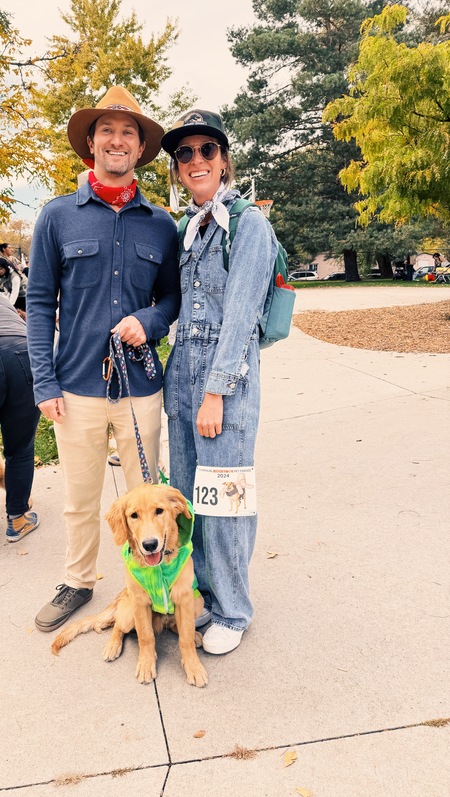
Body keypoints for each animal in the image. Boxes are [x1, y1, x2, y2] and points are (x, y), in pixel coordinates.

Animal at [51, 482, 209, 688]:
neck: (158, 568)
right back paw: (112, 646)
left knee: (178, 625)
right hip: (128, 613)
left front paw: (193, 666)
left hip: (198, 602)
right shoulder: (140, 603)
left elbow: (185, 638)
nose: (150, 544)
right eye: (134, 515)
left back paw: (195, 634)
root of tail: (122, 593)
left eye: (159, 511)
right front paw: (146, 664)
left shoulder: (185, 599)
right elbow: (145, 636)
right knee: (118, 626)